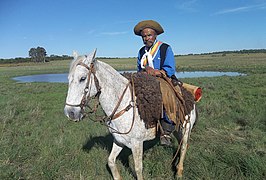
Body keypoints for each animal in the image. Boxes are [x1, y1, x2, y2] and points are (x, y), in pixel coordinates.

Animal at [64, 49, 197, 180]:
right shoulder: (119, 141)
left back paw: (179, 172)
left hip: (186, 129)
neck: (124, 104)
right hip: (178, 129)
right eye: (69, 79)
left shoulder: (137, 144)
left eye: (82, 78)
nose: (70, 113)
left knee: (184, 146)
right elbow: (110, 161)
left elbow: (138, 169)